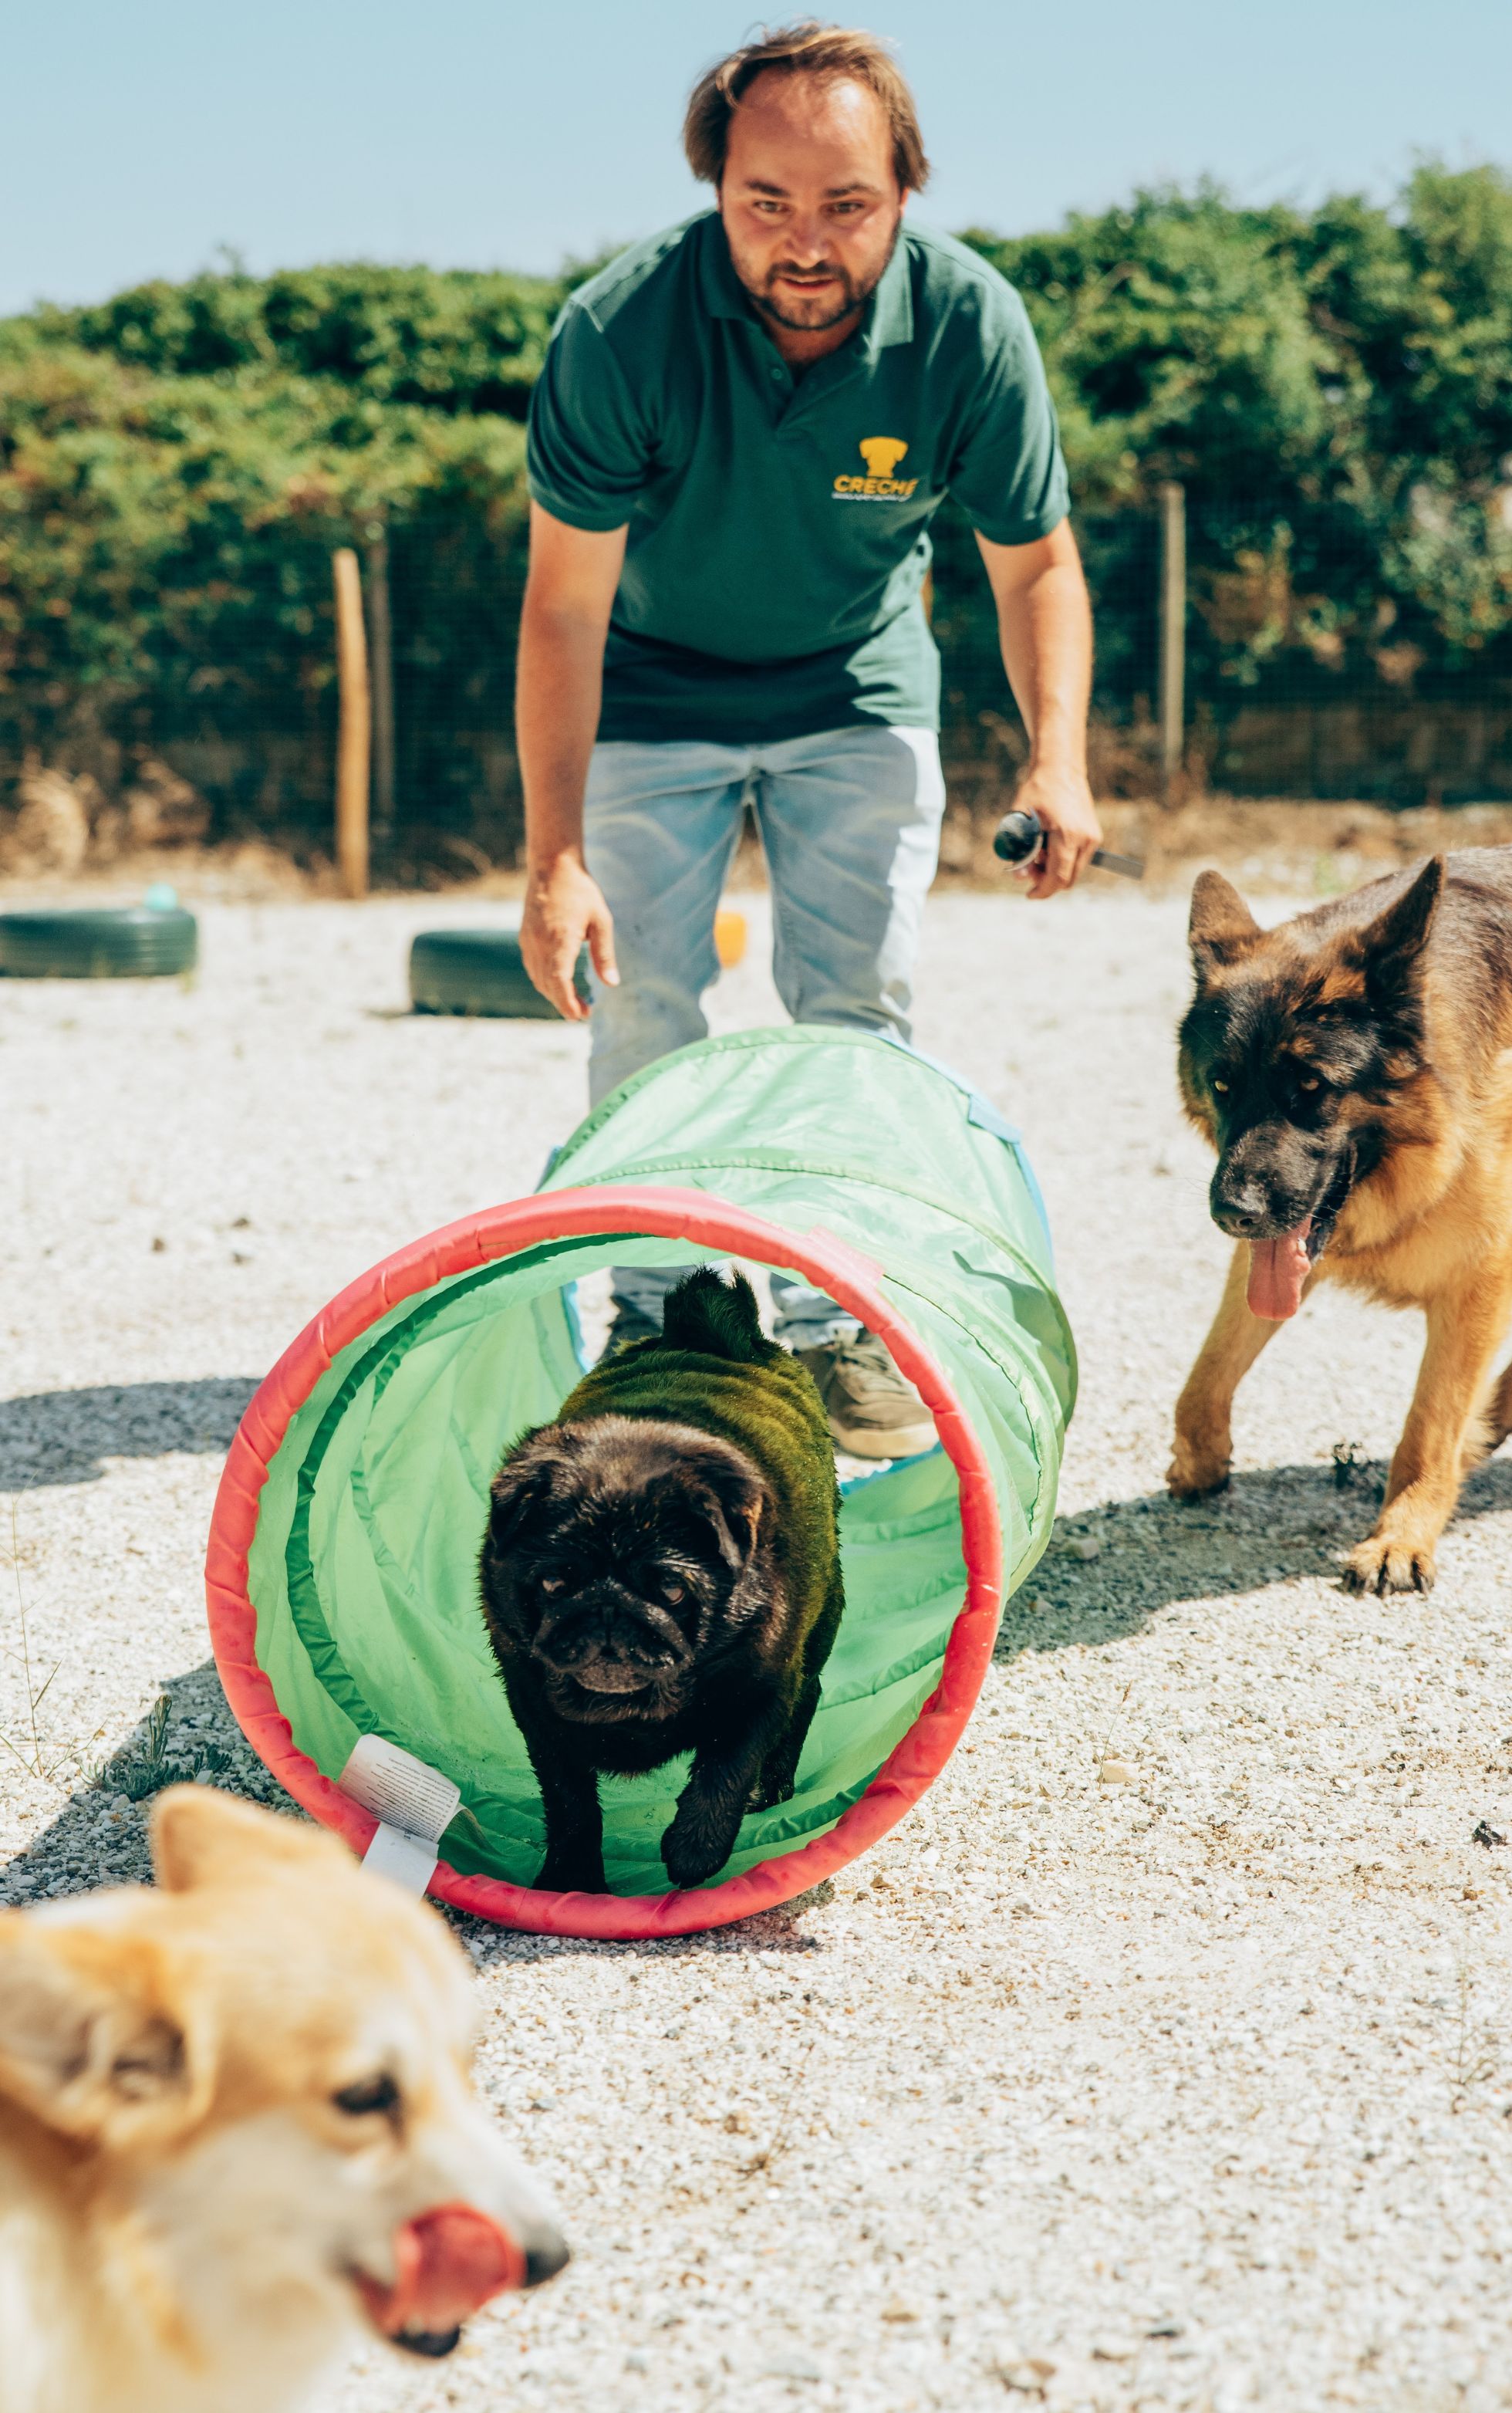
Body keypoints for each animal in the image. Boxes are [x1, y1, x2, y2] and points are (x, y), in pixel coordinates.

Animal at [1176, 859, 1512, 1592]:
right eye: (1222, 1085)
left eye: (1311, 1086)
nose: (1231, 1213)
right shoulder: (1276, 1249)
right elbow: (1206, 1372)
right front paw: (1200, 1458)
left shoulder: (1478, 1284)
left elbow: (1429, 1427)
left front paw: (1400, 1537)